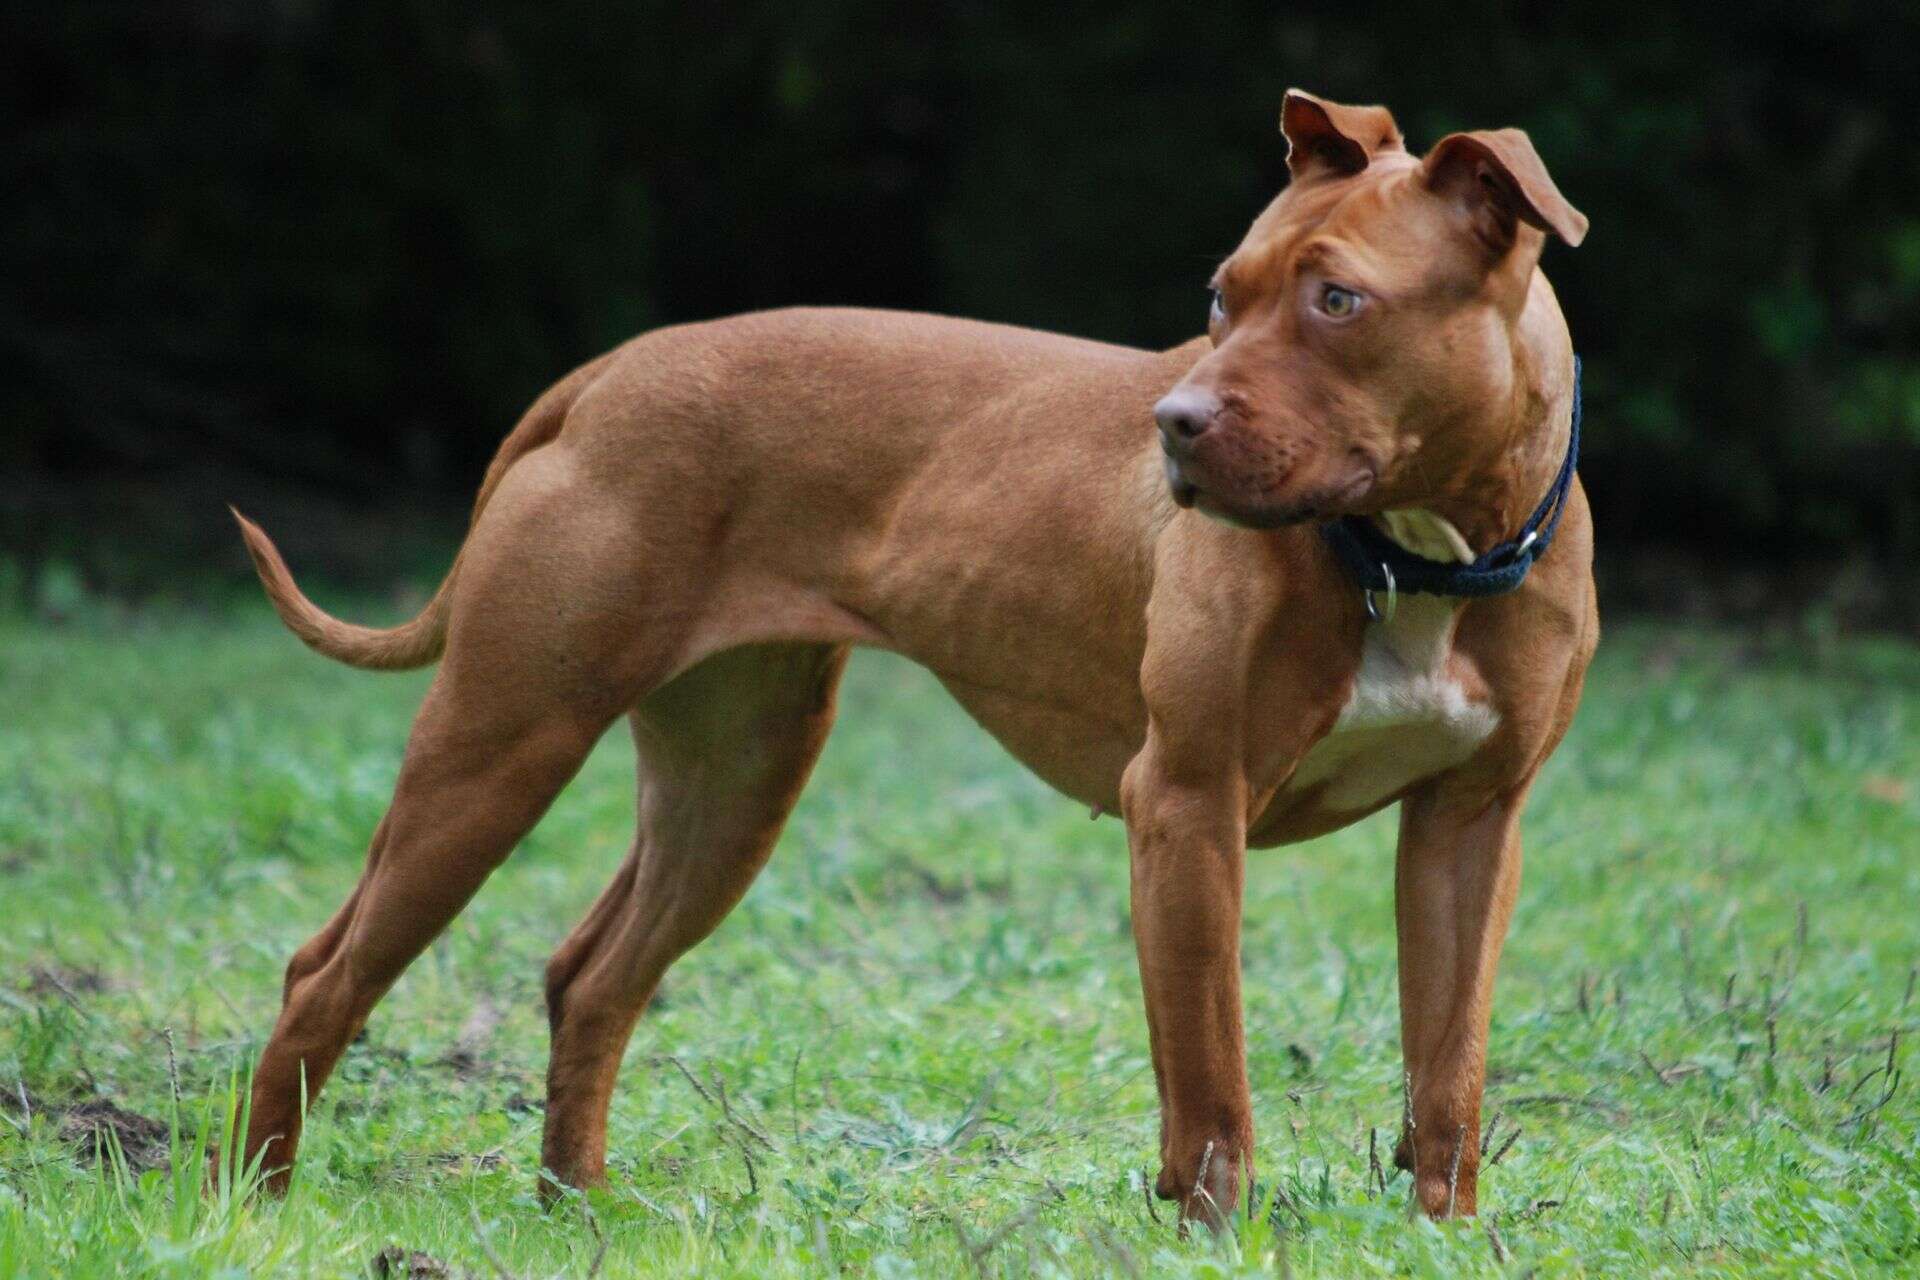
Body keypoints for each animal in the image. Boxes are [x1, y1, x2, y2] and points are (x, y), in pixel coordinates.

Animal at [232, 90, 1589, 1220]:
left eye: (1338, 300)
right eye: (1222, 294)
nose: (1175, 423)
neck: (1421, 555)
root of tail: (606, 373)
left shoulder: (1471, 828)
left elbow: (1448, 1074)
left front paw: (1442, 1235)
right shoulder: (1191, 804)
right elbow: (1212, 1089)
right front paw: (1218, 1238)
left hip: (731, 781)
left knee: (592, 976)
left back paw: (577, 1208)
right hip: (501, 742)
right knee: (324, 972)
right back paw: (261, 1200)